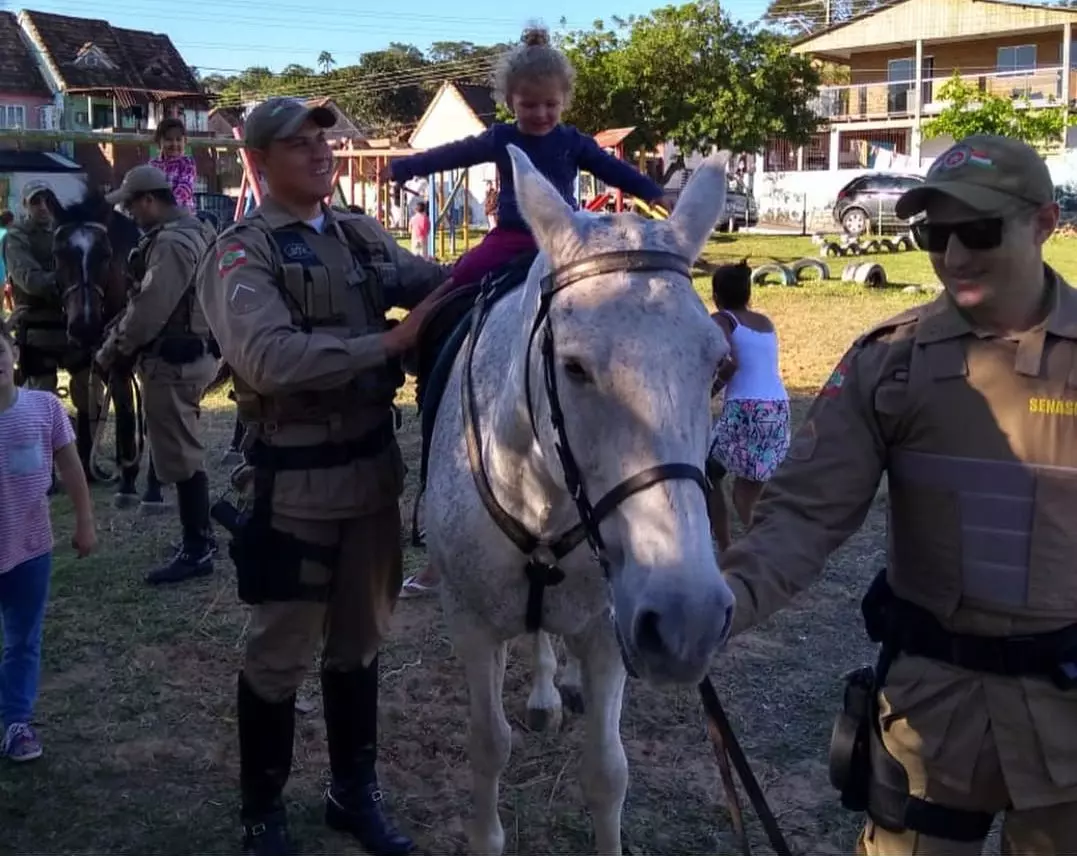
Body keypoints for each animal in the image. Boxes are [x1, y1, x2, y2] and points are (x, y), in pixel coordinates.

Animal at [48, 187, 159, 506]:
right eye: (58, 255)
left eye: (105, 255)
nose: (84, 326)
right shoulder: (98, 363)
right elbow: (104, 407)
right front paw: (120, 474)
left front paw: (140, 484)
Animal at [424, 144, 736, 852]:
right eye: (572, 367)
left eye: (719, 367)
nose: (689, 622)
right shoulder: (471, 624)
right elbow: (489, 745)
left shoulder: (608, 633)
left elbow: (607, 772)